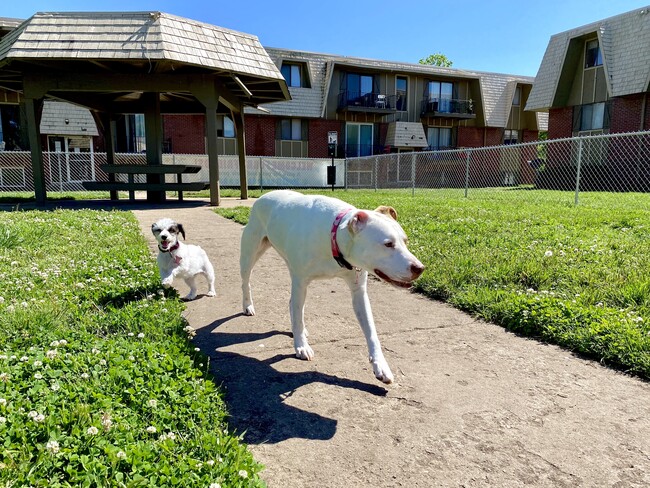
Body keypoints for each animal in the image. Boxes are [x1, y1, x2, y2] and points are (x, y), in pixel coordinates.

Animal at [240, 189, 422, 384]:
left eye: (406, 241)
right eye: (388, 244)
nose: (420, 268)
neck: (334, 238)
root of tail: (265, 195)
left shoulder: (359, 292)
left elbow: (371, 332)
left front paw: (381, 365)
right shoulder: (300, 282)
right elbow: (298, 316)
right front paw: (301, 346)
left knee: (293, 304)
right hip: (250, 255)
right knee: (247, 282)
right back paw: (248, 306)